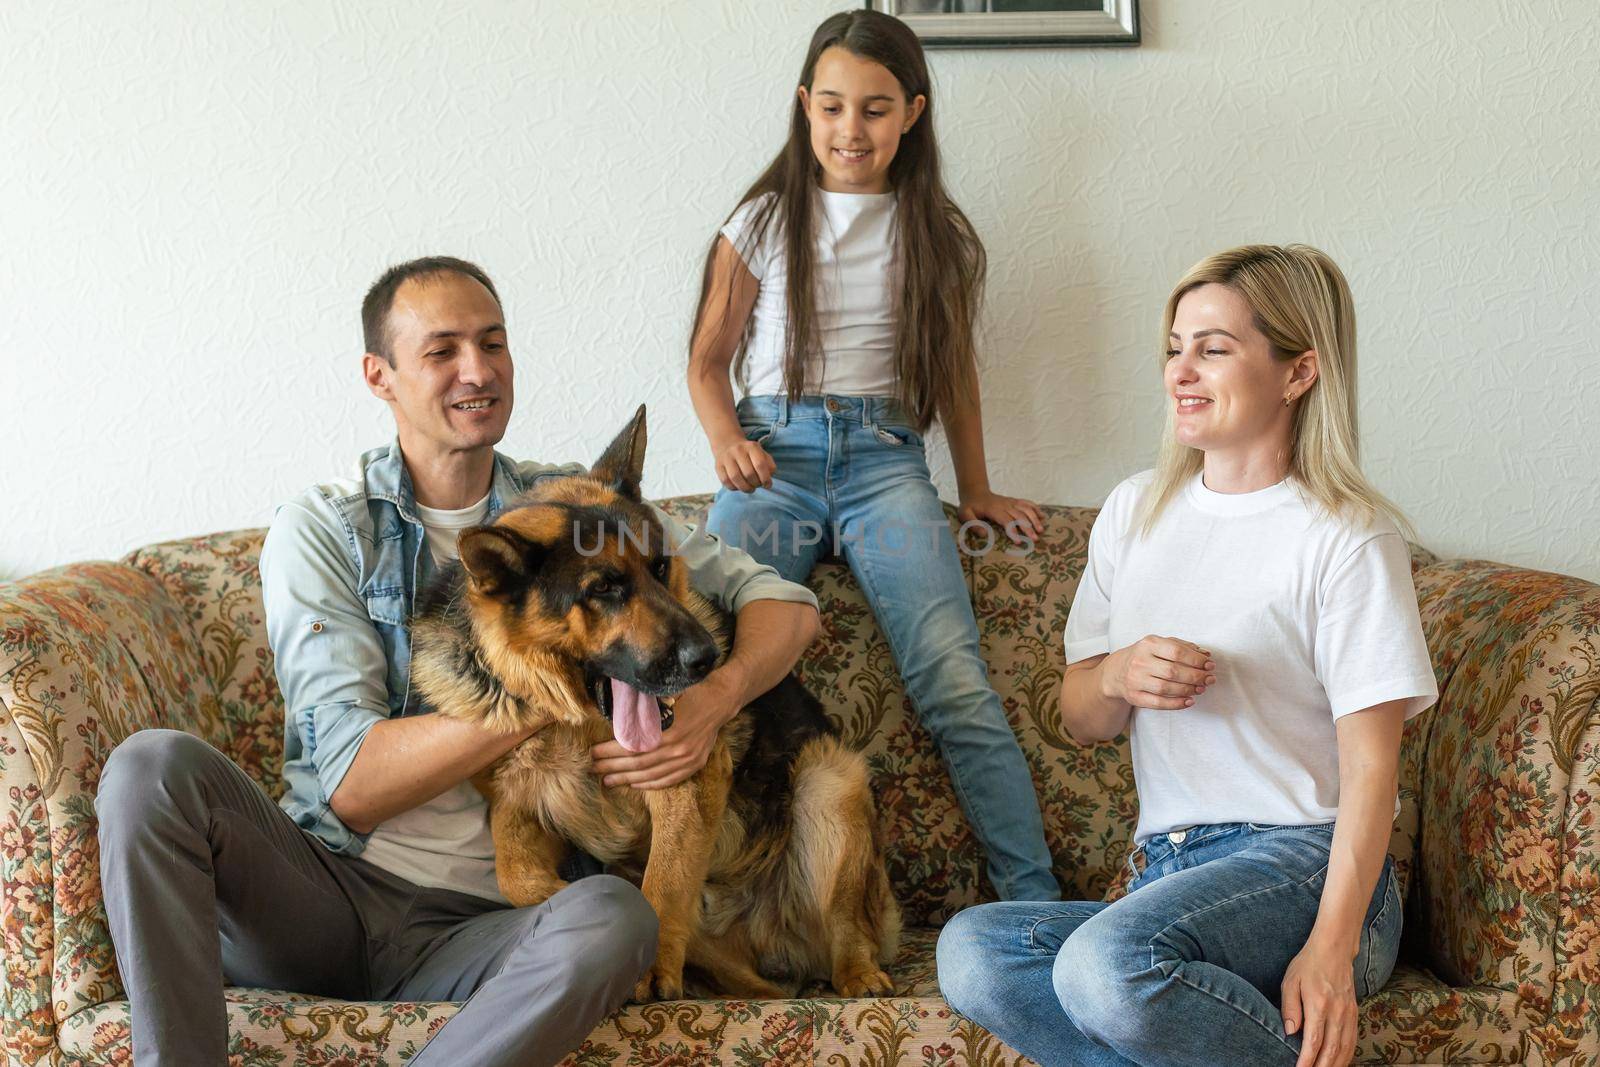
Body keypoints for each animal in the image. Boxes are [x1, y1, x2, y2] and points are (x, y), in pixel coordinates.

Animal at [406, 406, 902, 1004]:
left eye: (662, 568)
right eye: (604, 588)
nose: (708, 660)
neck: (575, 724)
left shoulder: (685, 789)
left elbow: (662, 885)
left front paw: (652, 970)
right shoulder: (514, 802)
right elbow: (514, 875)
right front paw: (566, 890)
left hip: (829, 781)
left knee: (848, 922)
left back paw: (859, 973)